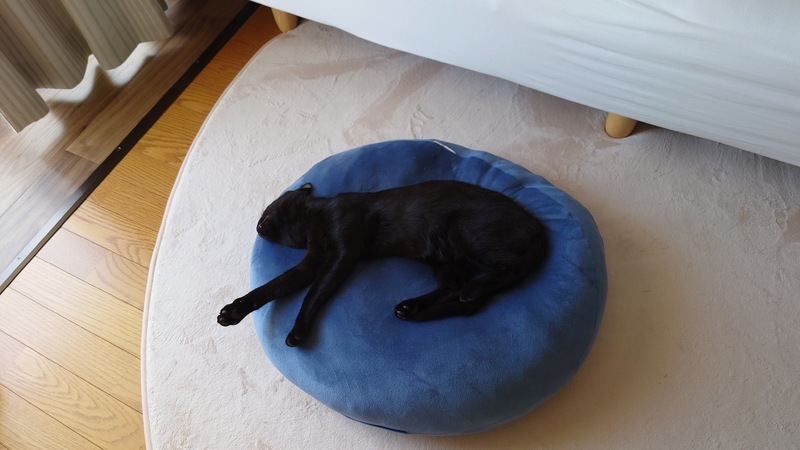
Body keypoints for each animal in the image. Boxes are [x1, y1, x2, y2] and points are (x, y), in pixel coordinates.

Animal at [217, 180, 548, 347]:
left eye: (266, 212)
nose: (257, 226)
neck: (313, 221)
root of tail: (536, 225)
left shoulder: (343, 254)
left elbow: (313, 295)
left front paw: (298, 332)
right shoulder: (312, 262)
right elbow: (272, 287)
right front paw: (233, 311)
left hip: (465, 231)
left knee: (509, 269)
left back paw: (472, 289)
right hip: (444, 257)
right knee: (457, 293)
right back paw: (411, 309)